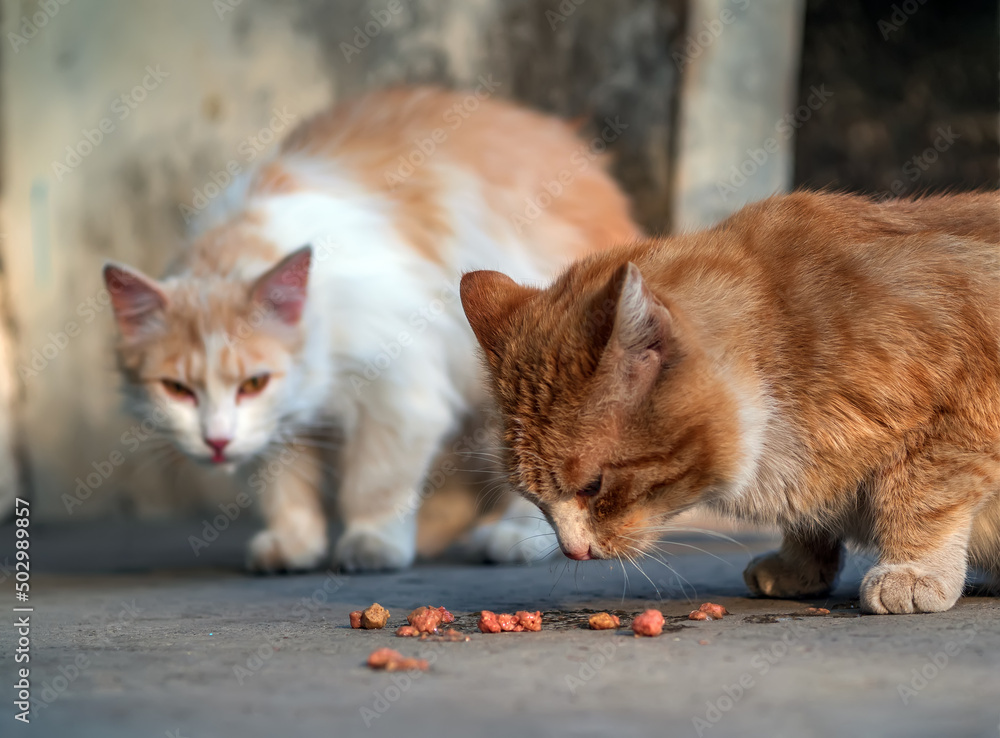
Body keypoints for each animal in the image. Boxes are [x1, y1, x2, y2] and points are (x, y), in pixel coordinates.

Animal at [101, 85, 640, 568]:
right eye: (176, 389)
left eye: (252, 383)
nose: (215, 442)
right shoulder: (280, 420)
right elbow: (282, 481)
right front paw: (293, 545)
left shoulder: (399, 387)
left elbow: (373, 483)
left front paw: (373, 544)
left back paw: (511, 538)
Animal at [460, 193, 1000, 612]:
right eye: (532, 497)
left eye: (593, 486)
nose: (573, 552)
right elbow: (812, 521)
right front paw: (799, 566)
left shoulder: (960, 414)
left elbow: (918, 496)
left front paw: (912, 568)